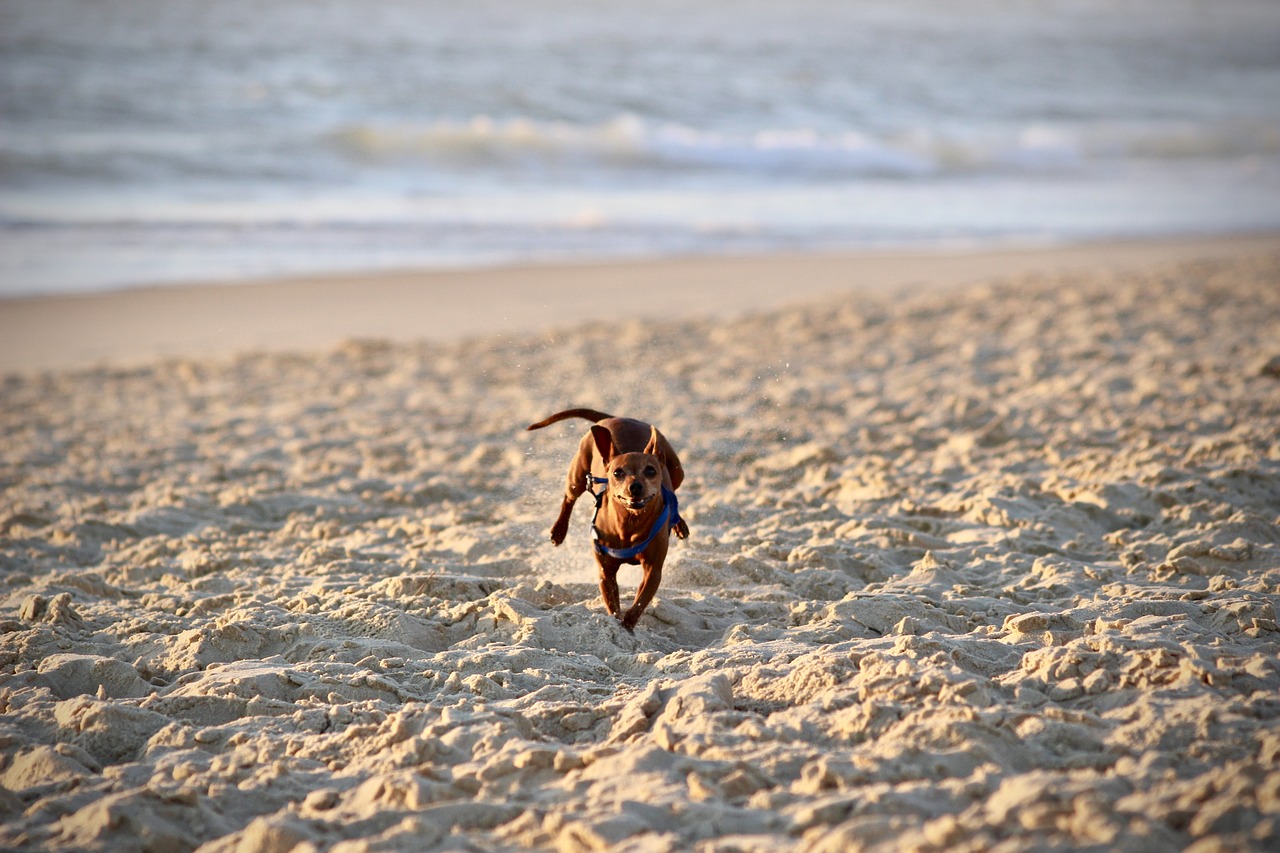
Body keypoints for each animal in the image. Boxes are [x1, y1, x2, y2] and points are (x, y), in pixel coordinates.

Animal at [524, 409, 691, 627]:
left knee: (675, 494)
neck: (629, 523)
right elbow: (613, 605)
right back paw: (558, 531)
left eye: (650, 471)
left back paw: (680, 525)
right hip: (577, 477)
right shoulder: (606, 572)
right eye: (617, 473)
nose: (635, 487)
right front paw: (616, 623)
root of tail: (615, 418)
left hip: (677, 471)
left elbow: (638, 603)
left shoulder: (652, 571)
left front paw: (627, 626)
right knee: (568, 499)